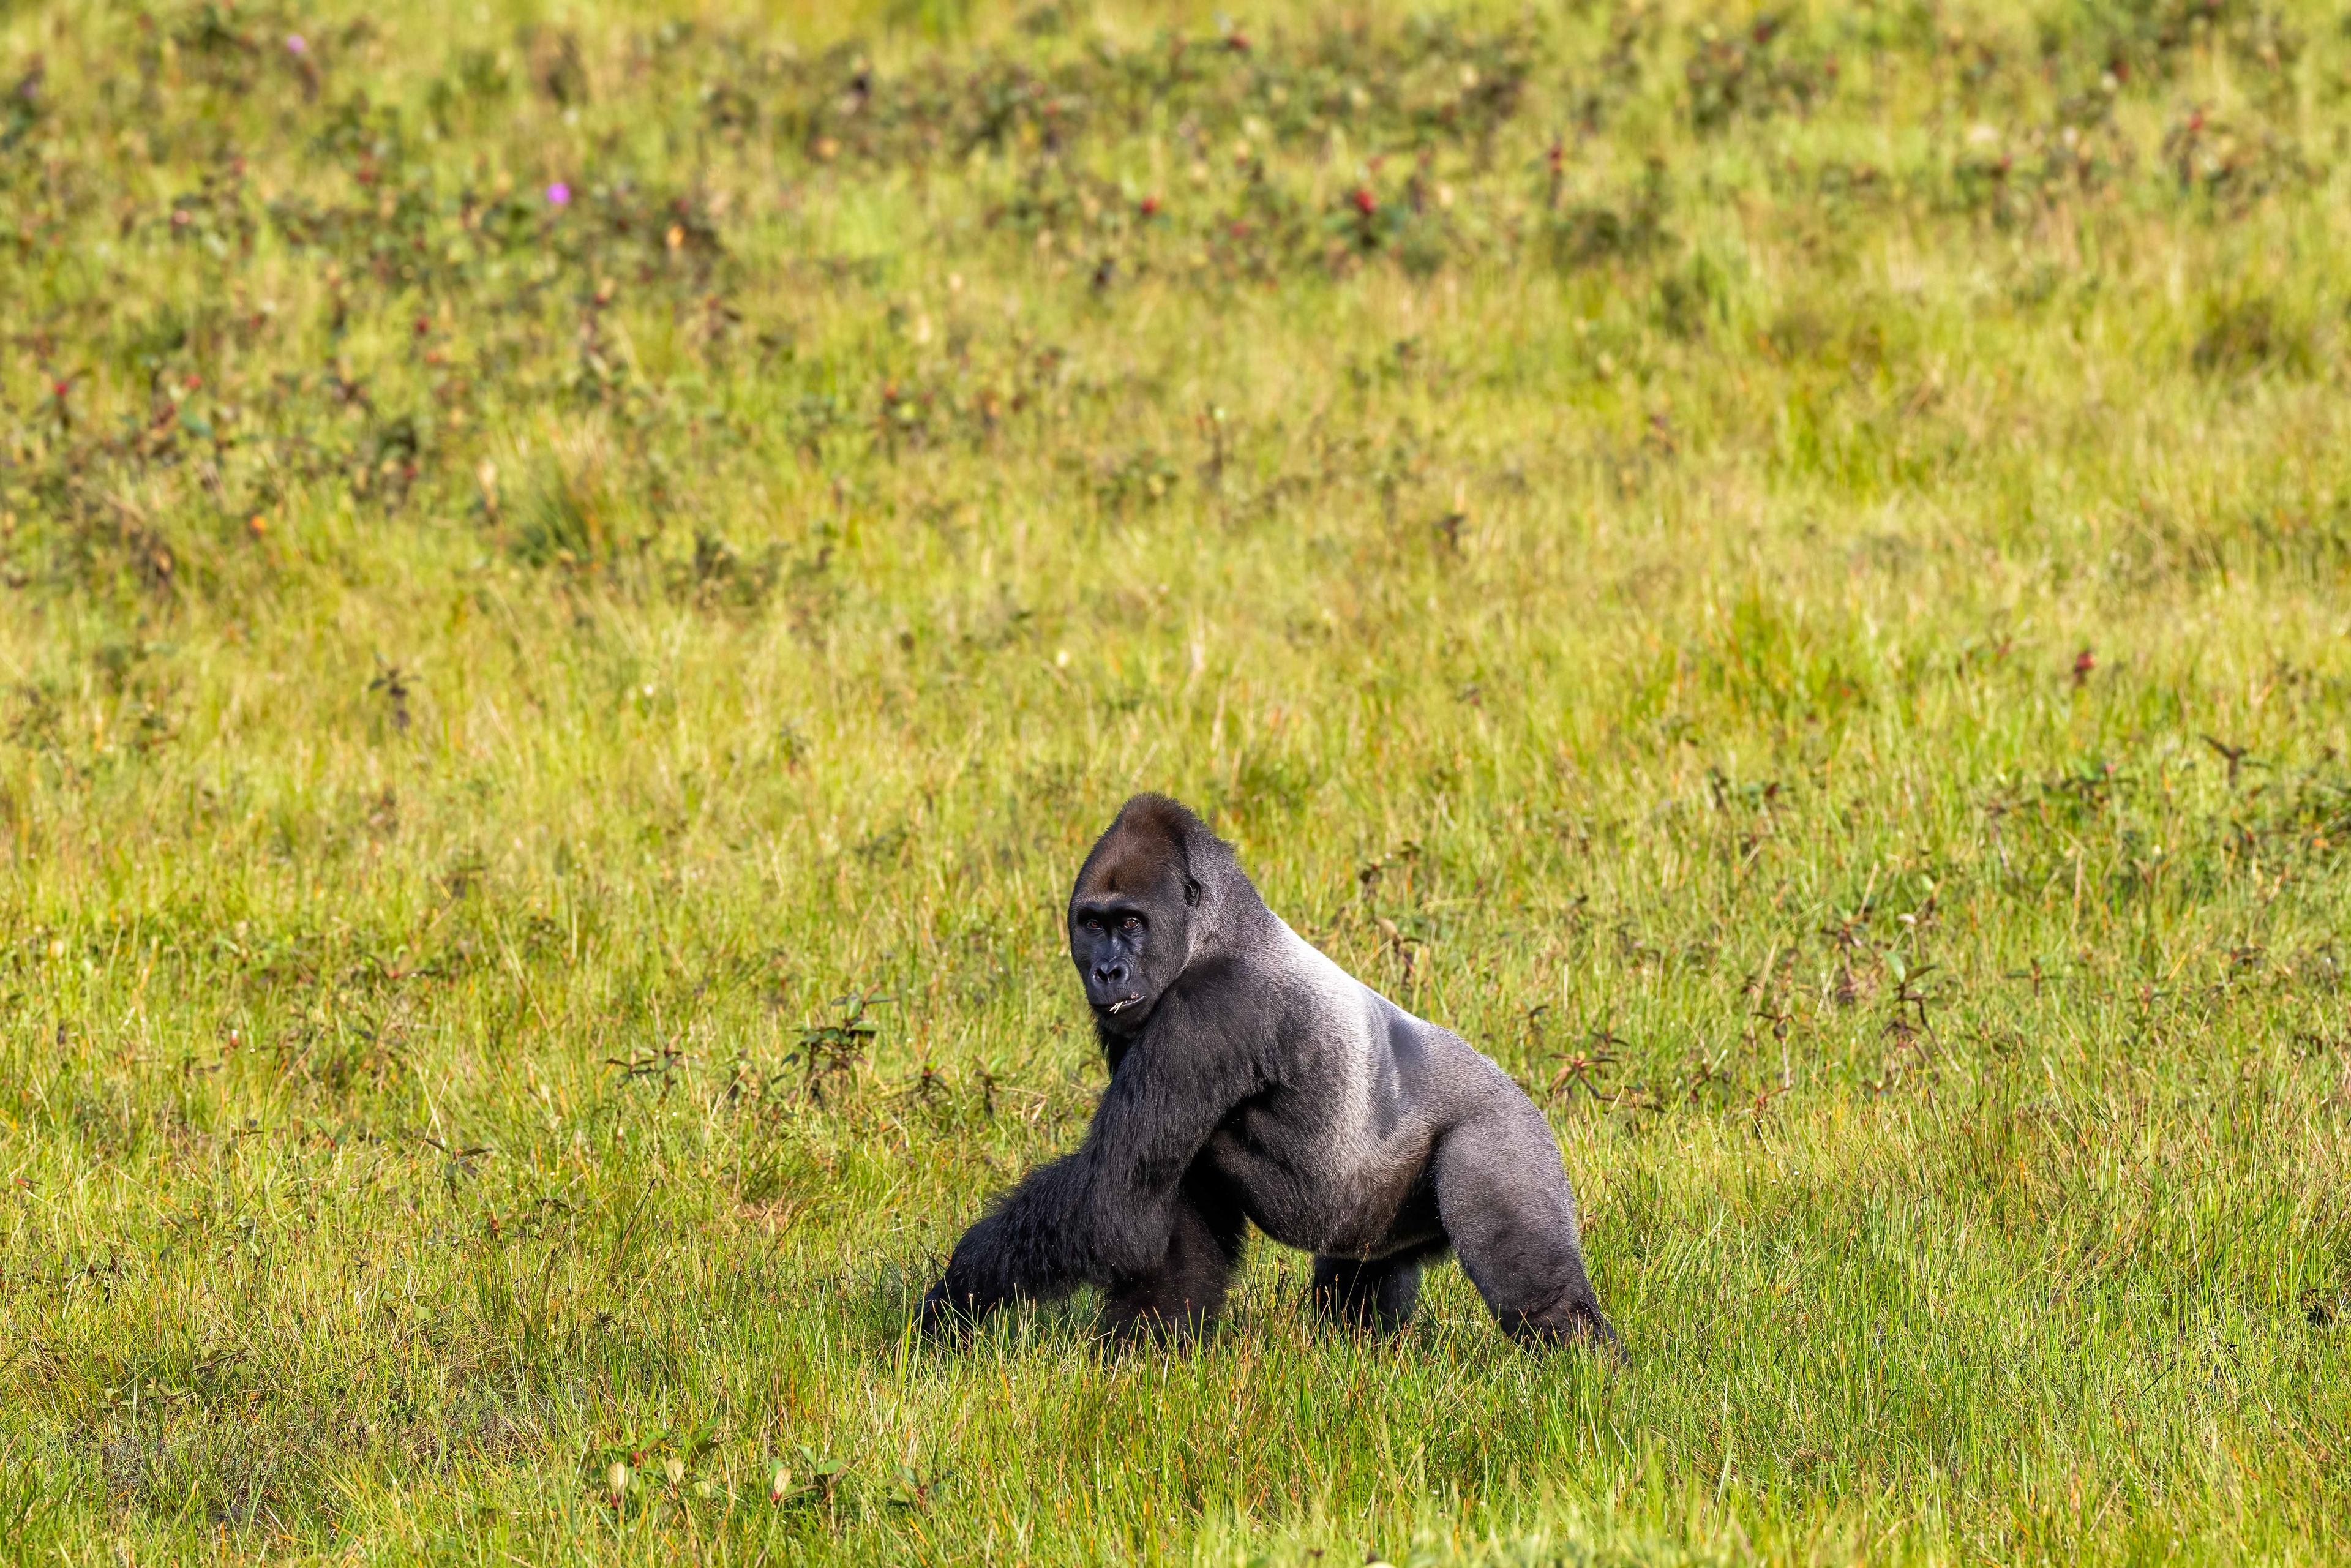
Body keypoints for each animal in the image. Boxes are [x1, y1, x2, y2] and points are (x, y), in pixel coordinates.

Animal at [920, 794, 1617, 1353]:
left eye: (1130, 923)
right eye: (1093, 923)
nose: (1108, 971)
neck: (1215, 928)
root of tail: (1528, 1099)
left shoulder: (1206, 1012)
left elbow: (1108, 1197)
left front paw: (956, 1294)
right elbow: (1158, 1203)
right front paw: (1146, 1351)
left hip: (1505, 1136)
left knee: (1533, 1284)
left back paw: (1587, 1372)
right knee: (1358, 1285)